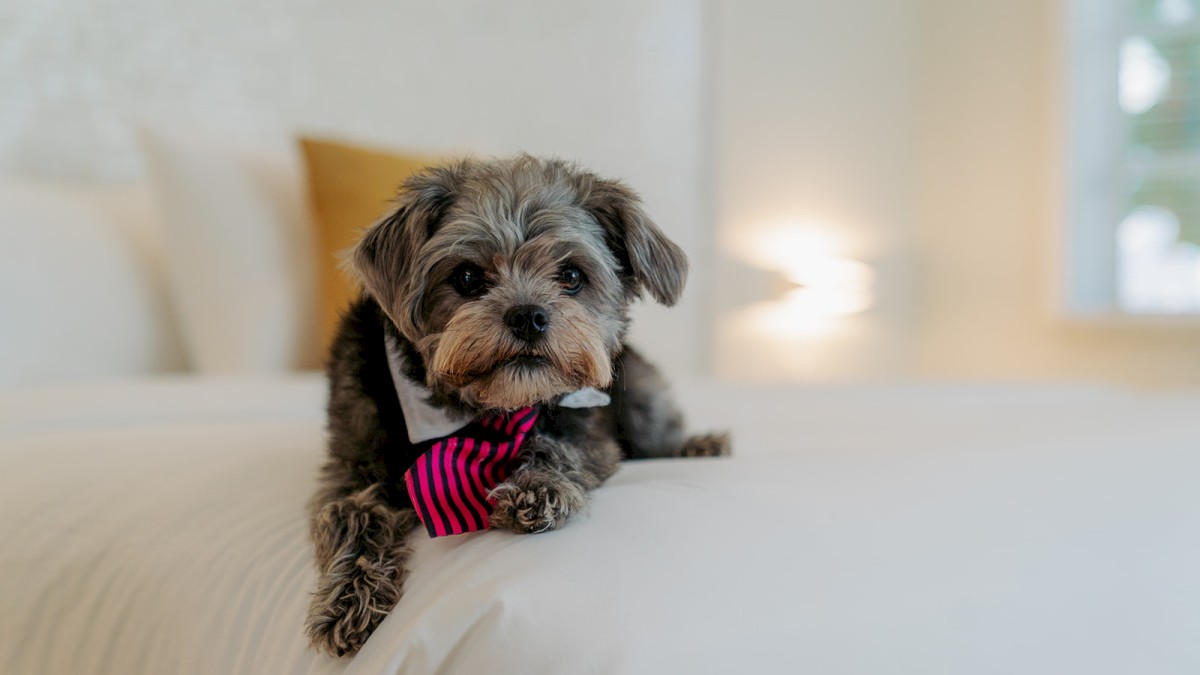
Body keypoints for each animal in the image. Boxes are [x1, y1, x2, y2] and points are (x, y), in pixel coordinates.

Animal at [304, 154, 724, 653]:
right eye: (467, 277)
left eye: (571, 276)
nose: (528, 316)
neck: (487, 412)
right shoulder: (349, 470)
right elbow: (351, 514)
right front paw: (352, 594)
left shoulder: (593, 435)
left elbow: (559, 448)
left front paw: (538, 484)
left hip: (638, 386)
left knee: (658, 434)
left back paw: (699, 446)